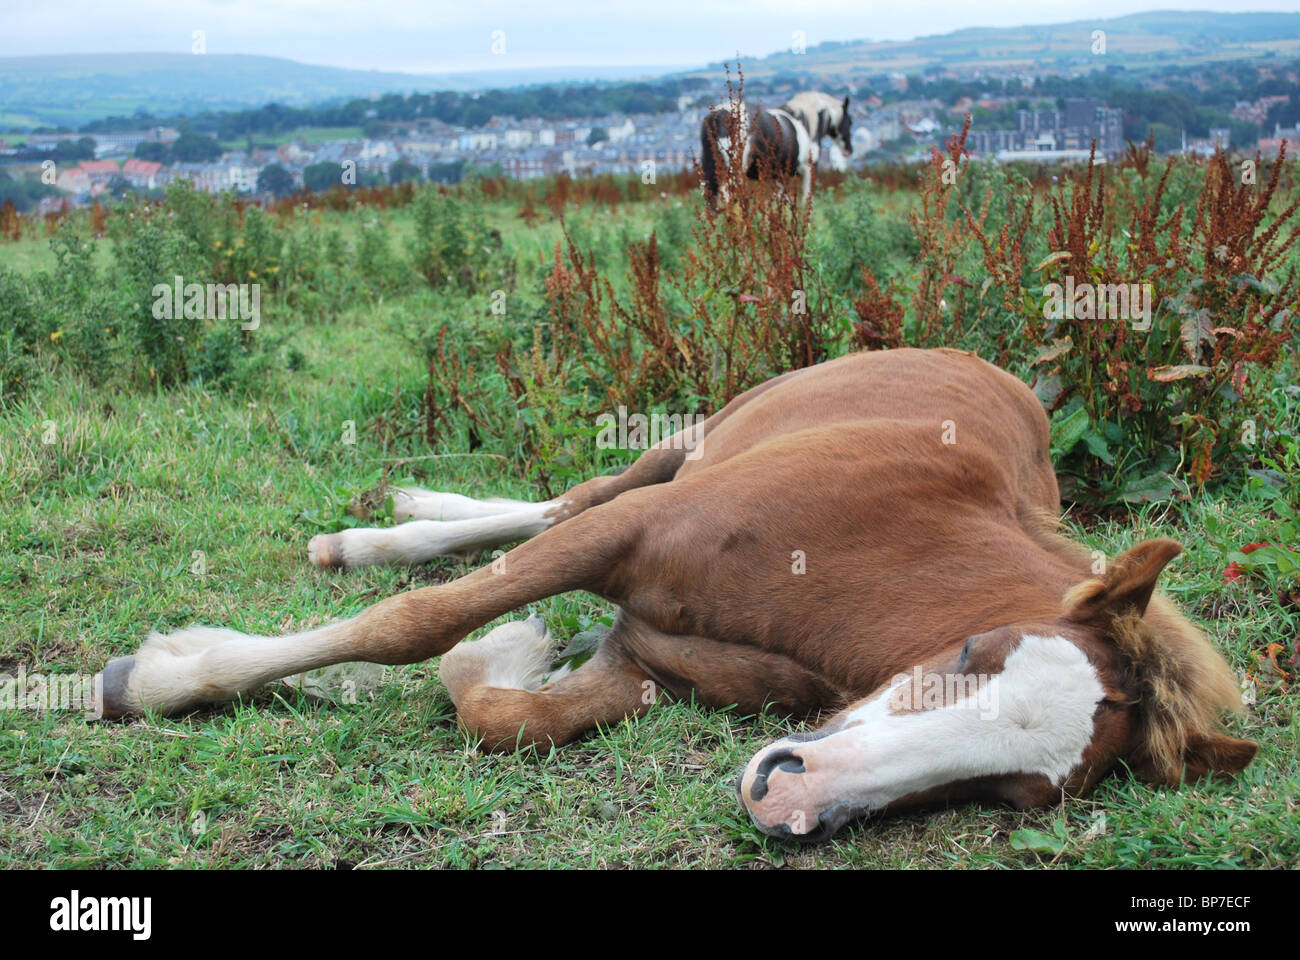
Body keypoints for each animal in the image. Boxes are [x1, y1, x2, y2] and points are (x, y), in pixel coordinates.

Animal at [93, 348, 1255, 843]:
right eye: (977, 653)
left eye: (1012, 794)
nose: (787, 799)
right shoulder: (636, 533)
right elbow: (413, 624)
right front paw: (160, 679)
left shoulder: (644, 664)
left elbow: (501, 711)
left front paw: (516, 649)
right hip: (686, 444)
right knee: (560, 502)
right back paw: (379, 531)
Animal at [700, 91, 852, 207]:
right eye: (850, 121)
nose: (849, 150)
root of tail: (718, 116)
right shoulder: (808, 170)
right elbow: (804, 201)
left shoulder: (778, 177)